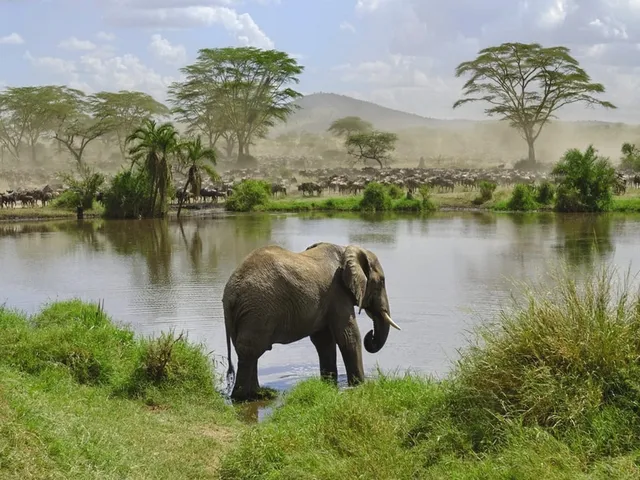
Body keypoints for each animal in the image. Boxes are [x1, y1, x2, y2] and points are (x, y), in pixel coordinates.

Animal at [223, 241, 400, 401]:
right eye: (382, 282)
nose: (371, 335)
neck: (346, 250)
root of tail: (230, 293)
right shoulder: (337, 292)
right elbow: (349, 336)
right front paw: (359, 386)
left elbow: (324, 341)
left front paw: (329, 385)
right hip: (258, 309)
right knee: (250, 350)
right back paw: (242, 397)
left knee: (248, 351)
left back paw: (259, 394)